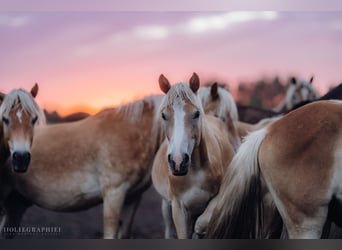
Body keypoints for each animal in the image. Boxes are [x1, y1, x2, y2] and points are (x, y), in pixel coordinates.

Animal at [152, 73, 235, 238]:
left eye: (196, 114)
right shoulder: (178, 208)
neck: (196, 171)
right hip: (166, 205)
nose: (178, 161)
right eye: (164, 115)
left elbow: (201, 224)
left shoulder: (217, 199)